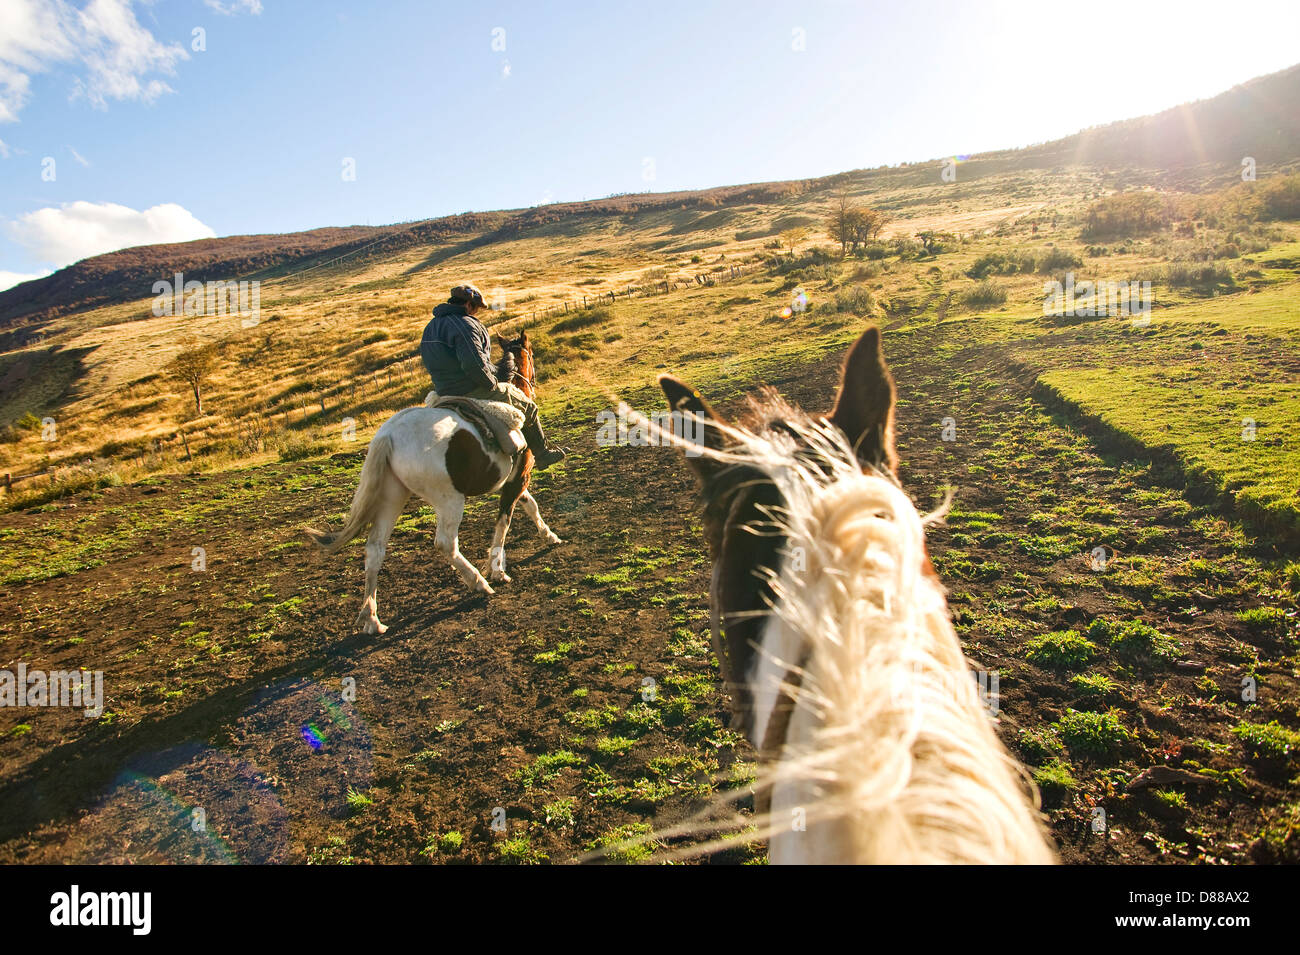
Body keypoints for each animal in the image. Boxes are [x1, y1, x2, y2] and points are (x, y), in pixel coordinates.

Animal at [309, 330, 564, 634]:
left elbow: (531, 506)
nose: (533, 381)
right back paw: (479, 582)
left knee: (375, 549)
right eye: (531, 354)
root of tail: (389, 435)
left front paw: (549, 535)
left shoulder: (513, 483)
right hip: (449, 501)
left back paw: (371, 617)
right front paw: (497, 570)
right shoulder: (517, 480)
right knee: (445, 543)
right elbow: (504, 522)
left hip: (392, 497)